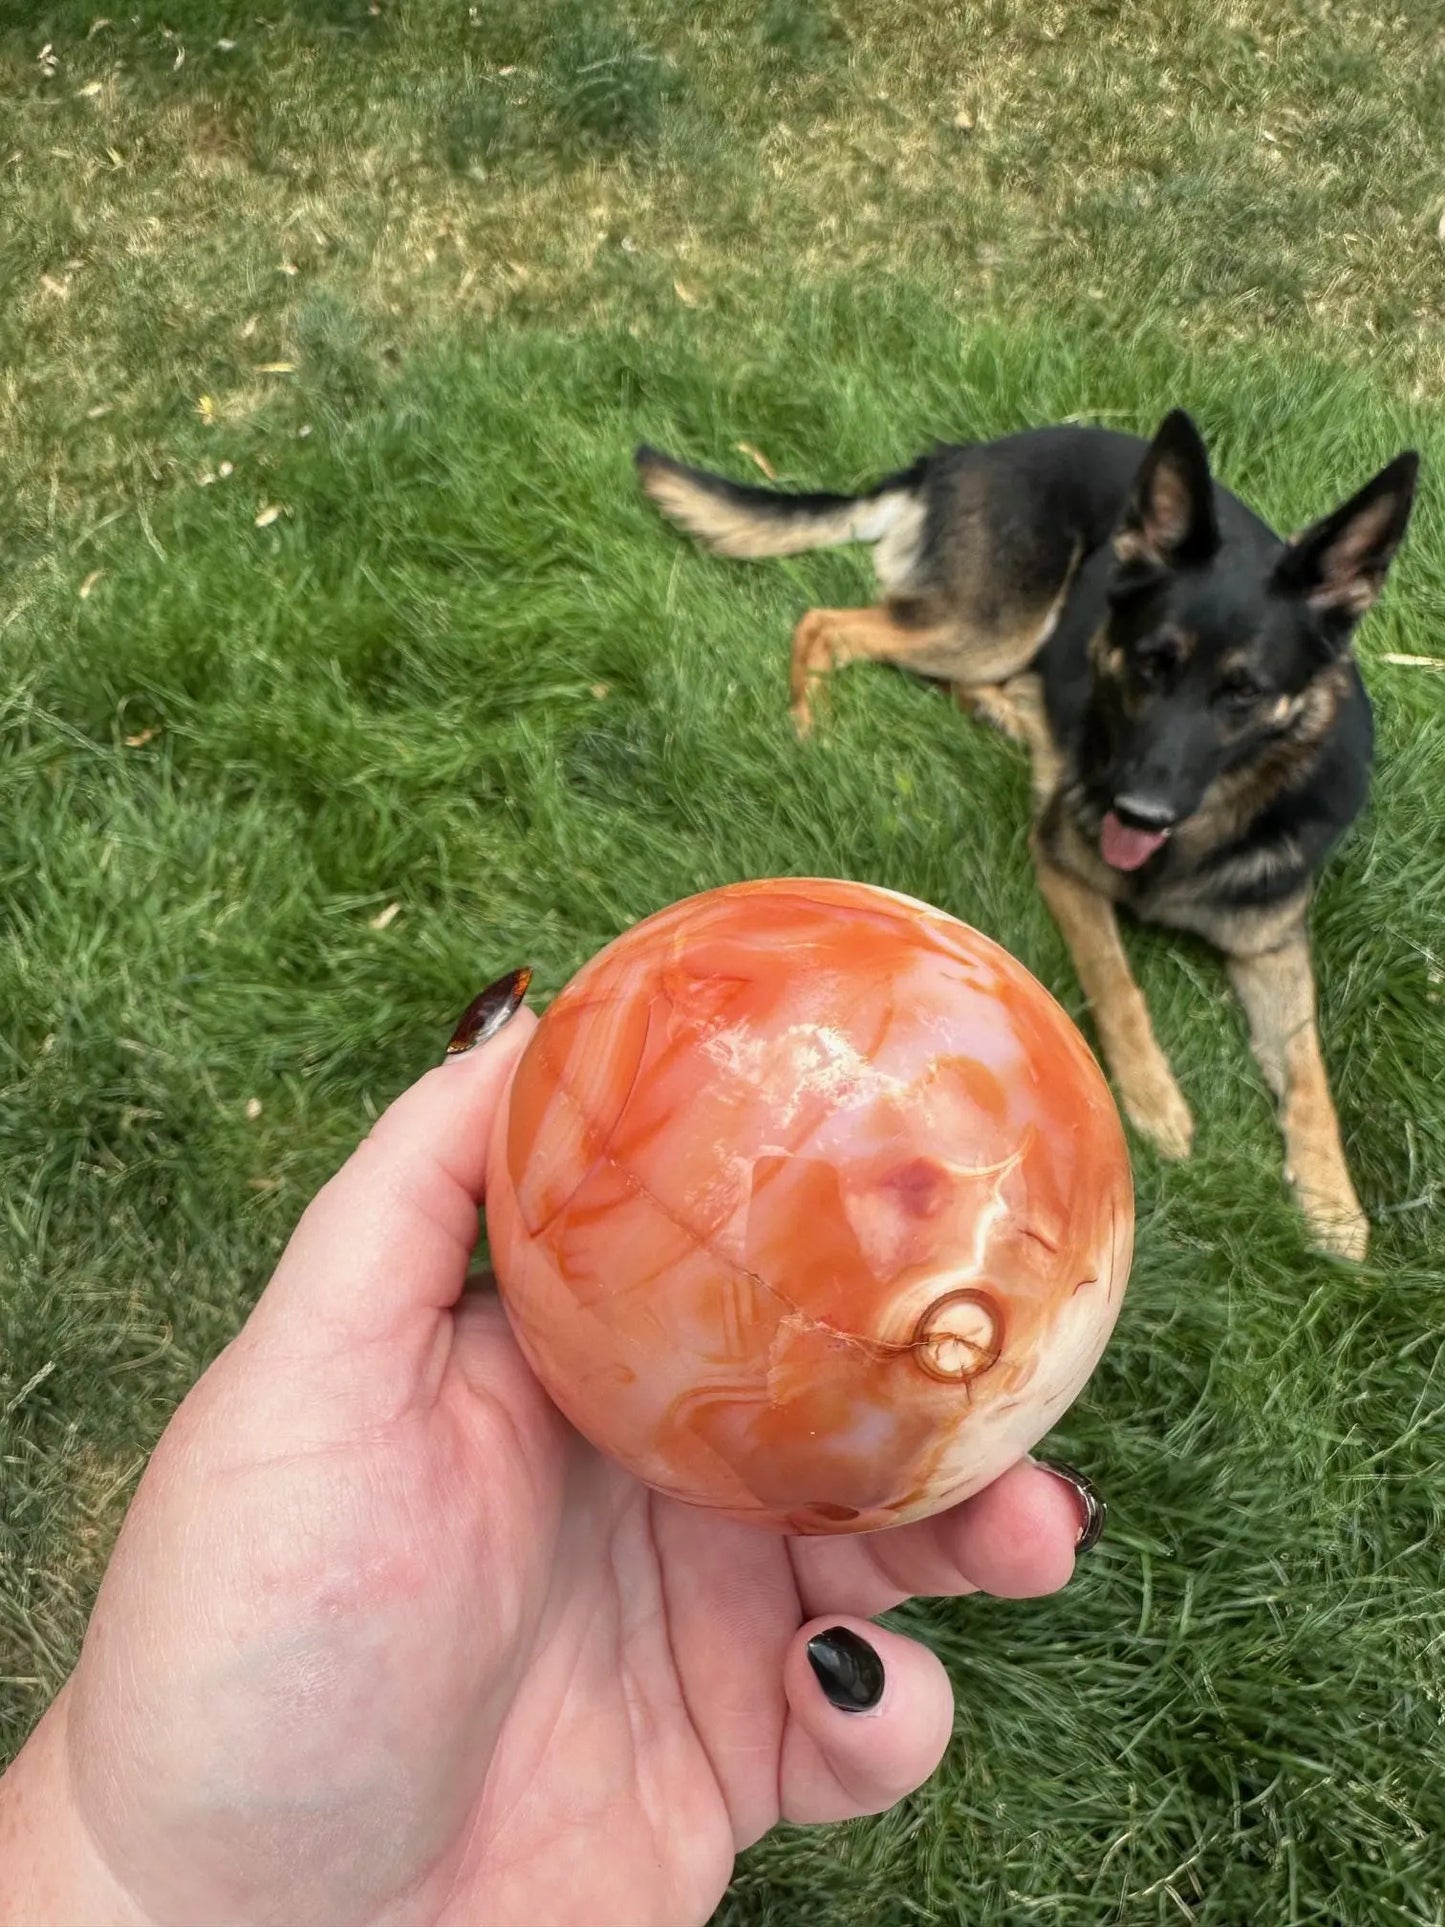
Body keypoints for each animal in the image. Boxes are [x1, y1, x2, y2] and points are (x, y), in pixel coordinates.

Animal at [639, 418, 1418, 1264]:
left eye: (1241, 692)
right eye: (1152, 665)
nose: (1133, 809)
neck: (1198, 833)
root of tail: (965, 452)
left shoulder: (1270, 946)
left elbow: (1309, 1075)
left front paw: (1332, 1202)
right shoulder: (1065, 869)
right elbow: (1117, 984)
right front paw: (1155, 1103)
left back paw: (1016, 721)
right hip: (993, 624)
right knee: (825, 623)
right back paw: (809, 727)